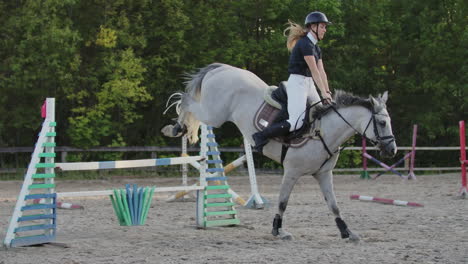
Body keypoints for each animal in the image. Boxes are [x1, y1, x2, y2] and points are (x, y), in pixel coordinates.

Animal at [163, 63, 396, 240]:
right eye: (382, 123)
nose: (392, 149)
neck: (323, 131)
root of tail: (221, 68)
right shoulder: (291, 172)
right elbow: (283, 202)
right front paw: (278, 230)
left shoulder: (323, 174)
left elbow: (334, 205)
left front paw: (347, 232)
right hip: (214, 113)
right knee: (186, 101)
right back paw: (175, 128)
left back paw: (182, 128)